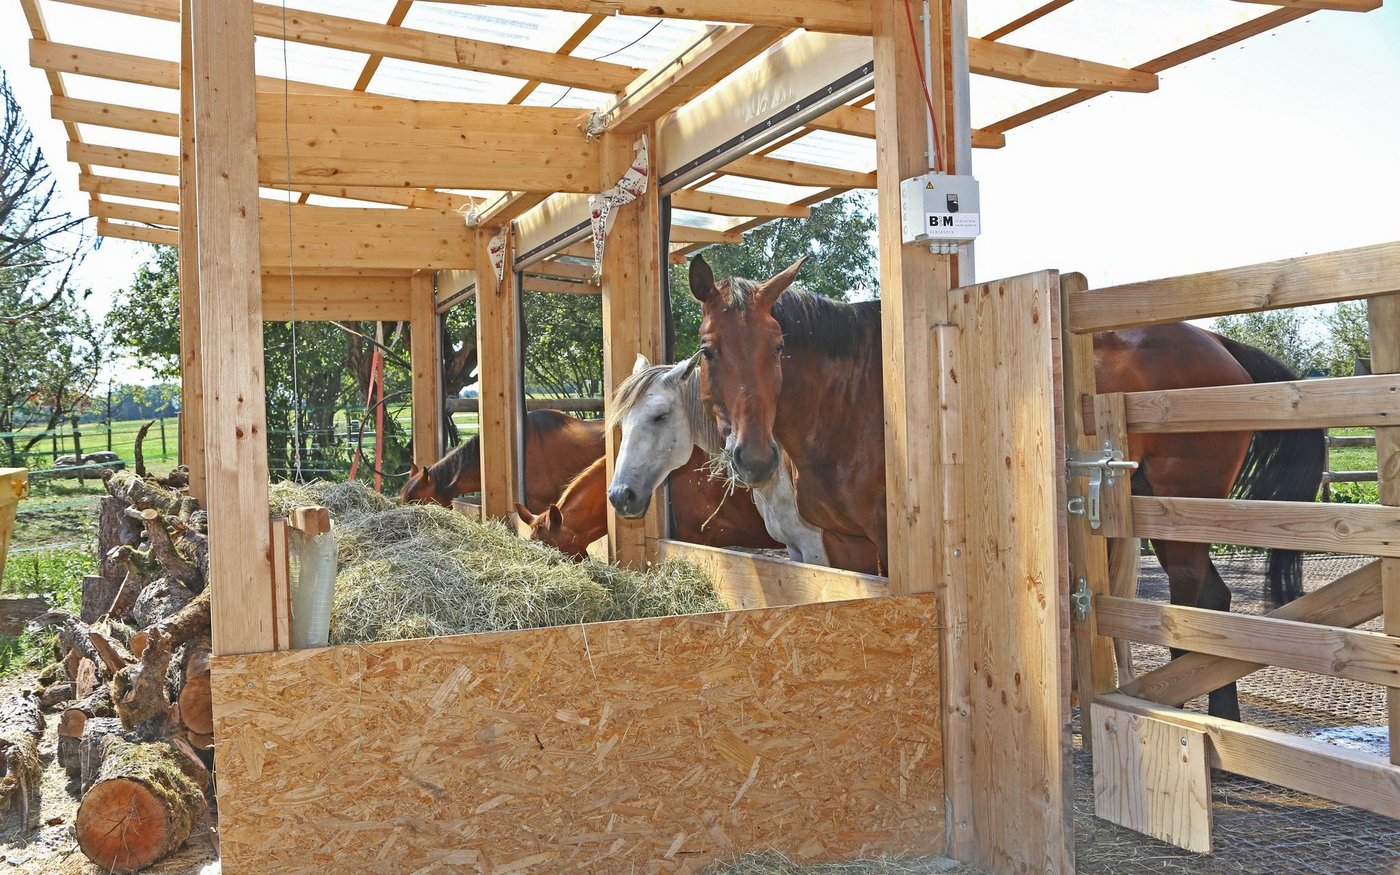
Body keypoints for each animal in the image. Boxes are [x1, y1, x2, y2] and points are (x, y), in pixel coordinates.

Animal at [688, 254, 1324, 721]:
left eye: (777, 346)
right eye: (708, 349)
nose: (752, 456)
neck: (853, 398)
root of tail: (1221, 347)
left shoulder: (891, 542)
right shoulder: (844, 544)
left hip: (1182, 517)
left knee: (1204, 601)